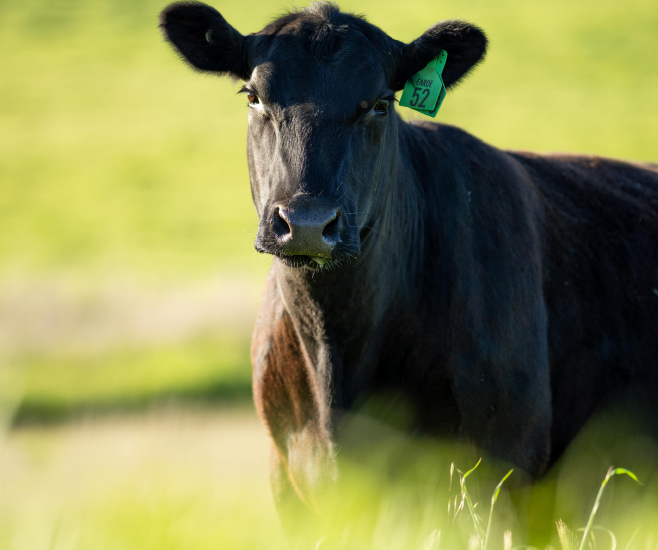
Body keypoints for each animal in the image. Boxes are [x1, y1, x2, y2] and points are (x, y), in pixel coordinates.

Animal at [159, 0, 656, 540]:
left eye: (380, 103)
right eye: (253, 96)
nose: (307, 223)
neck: (337, 356)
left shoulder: (504, 471)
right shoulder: (287, 481)